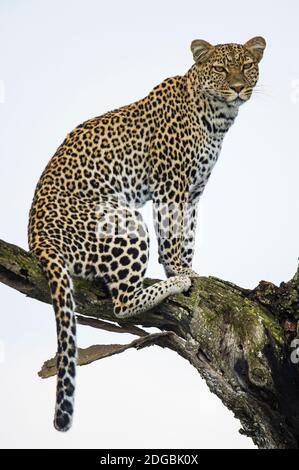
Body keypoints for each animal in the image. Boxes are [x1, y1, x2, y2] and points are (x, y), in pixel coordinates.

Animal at [28, 36, 268, 432]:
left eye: (247, 66)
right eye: (220, 68)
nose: (237, 87)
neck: (216, 118)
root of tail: (37, 240)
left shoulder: (193, 191)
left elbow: (188, 233)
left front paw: (189, 268)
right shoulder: (172, 183)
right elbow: (172, 235)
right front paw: (179, 273)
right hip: (124, 220)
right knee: (122, 304)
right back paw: (169, 286)